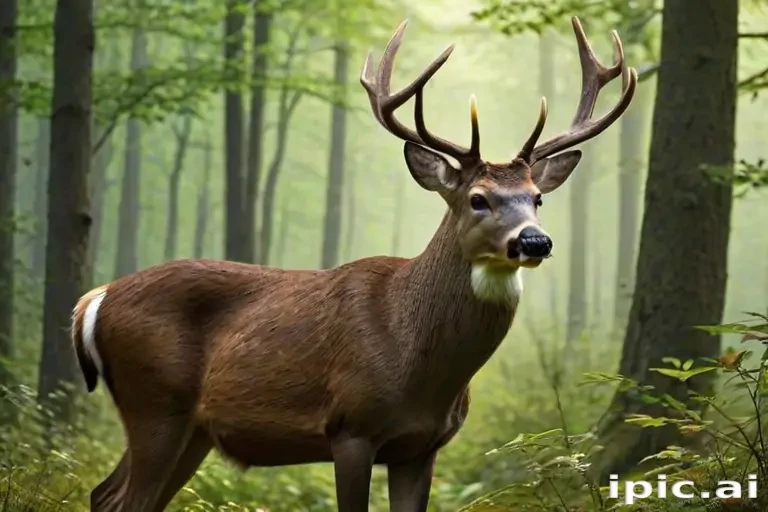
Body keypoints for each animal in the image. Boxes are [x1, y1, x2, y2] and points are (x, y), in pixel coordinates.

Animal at [70, 16, 636, 512]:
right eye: (479, 199)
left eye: (537, 197)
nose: (535, 241)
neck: (418, 361)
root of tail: (93, 300)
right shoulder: (350, 428)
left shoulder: (422, 447)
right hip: (155, 401)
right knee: (123, 498)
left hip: (193, 429)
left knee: (105, 494)